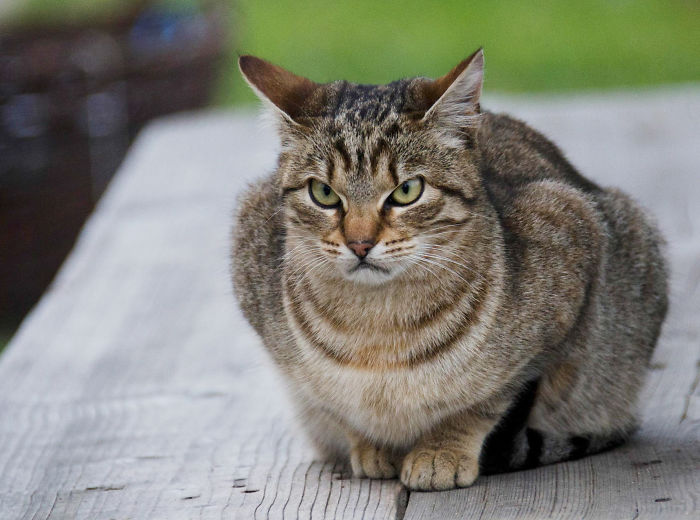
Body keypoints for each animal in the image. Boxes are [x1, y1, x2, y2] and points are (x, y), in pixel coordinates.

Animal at [230, 49, 668, 492]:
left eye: (407, 191)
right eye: (323, 193)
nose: (360, 244)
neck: (376, 329)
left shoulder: (569, 248)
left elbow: (483, 403)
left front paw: (441, 450)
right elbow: (336, 404)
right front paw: (372, 444)